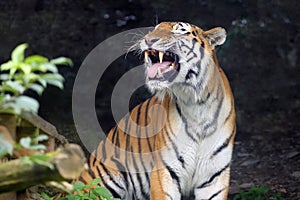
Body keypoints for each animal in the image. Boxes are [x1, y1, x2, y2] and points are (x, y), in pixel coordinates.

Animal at [74, 22, 236, 200]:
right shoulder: (165, 172)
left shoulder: (214, 177)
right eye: (154, 29)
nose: (148, 39)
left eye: (180, 30)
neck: (196, 104)